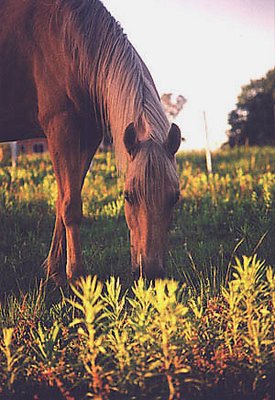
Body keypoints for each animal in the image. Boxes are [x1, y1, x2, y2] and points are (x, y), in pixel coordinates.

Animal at [0, 0, 183, 282]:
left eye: (174, 197)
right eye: (128, 196)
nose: (151, 272)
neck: (67, 39)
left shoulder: (88, 137)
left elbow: (64, 199)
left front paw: (54, 272)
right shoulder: (60, 127)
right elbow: (71, 205)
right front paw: (76, 275)